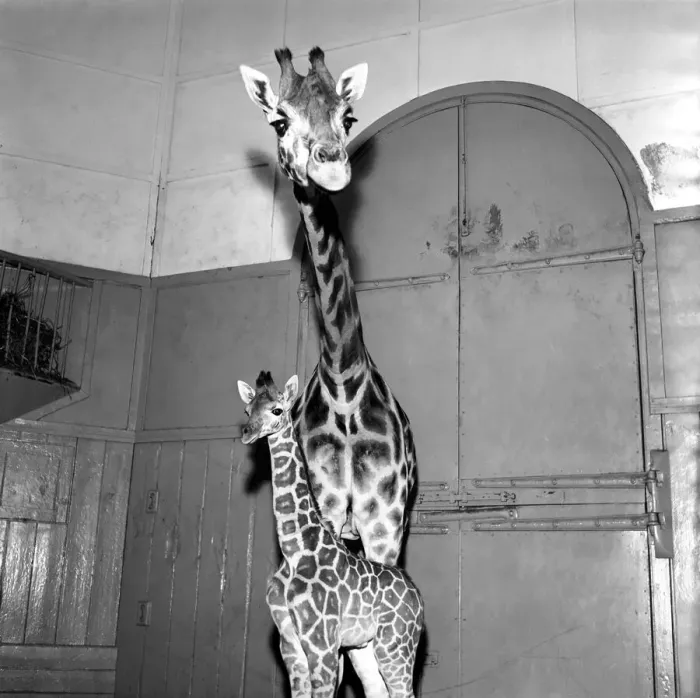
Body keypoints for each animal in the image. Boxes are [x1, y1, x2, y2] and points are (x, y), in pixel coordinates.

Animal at [238, 371, 424, 698]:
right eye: (247, 411)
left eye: (277, 410)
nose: (248, 433)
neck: (294, 548)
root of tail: (418, 599)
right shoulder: (290, 642)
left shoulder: (321, 641)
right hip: (364, 647)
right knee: (377, 689)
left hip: (395, 645)